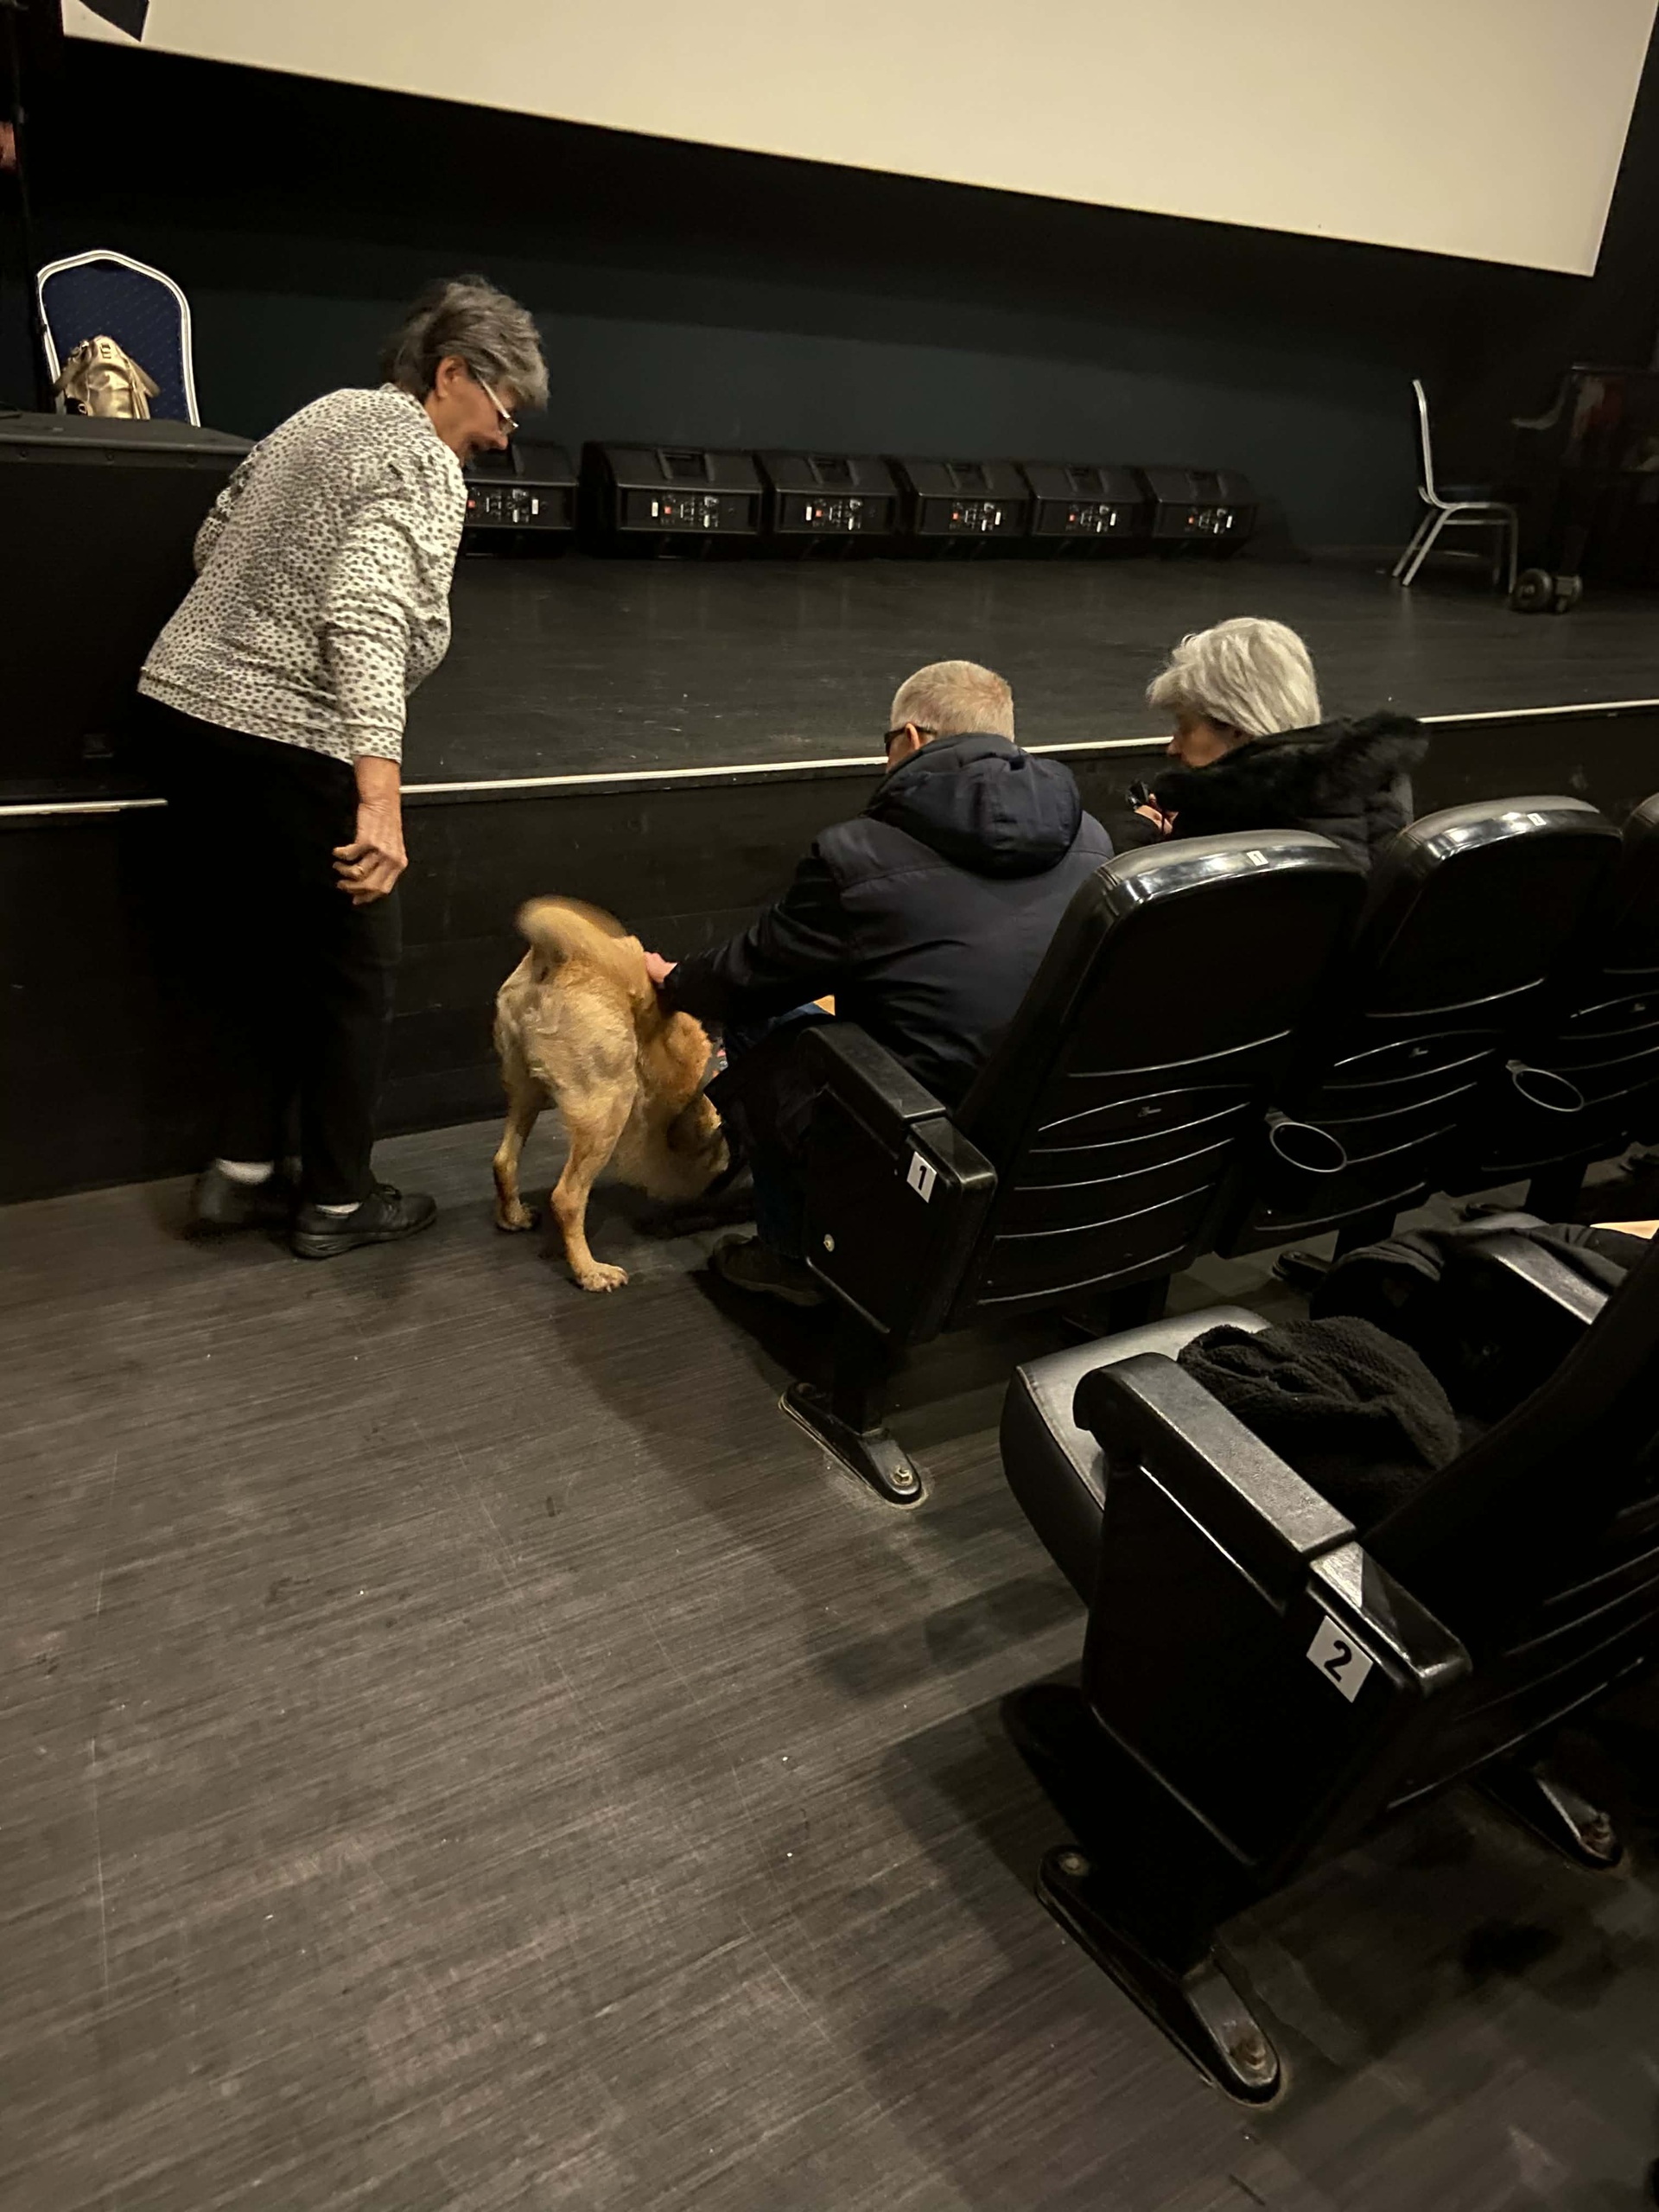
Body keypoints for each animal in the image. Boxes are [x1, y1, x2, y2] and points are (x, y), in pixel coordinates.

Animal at [492, 897, 729, 1291]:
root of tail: (562, 957)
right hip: (609, 1105)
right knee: (567, 1198)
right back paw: (590, 1272)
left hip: (525, 1090)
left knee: (504, 1160)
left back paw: (513, 1217)